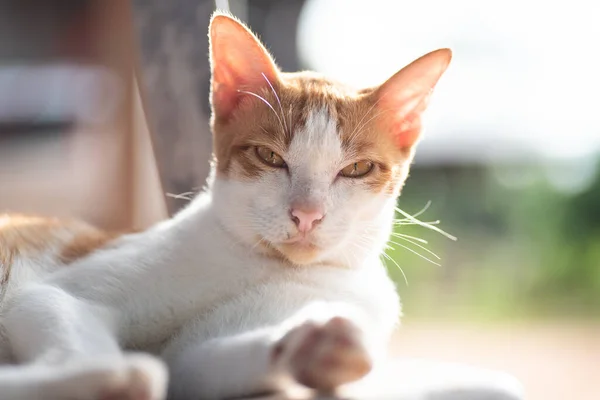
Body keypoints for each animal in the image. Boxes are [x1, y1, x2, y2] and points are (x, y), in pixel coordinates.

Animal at [0, 12, 450, 400]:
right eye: (269, 157)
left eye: (357, 168)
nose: (307, 215)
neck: (264, 266)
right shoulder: (53, 293)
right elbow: (64, 321)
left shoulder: (190, 359)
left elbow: (209, 362)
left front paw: (318, 348)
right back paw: (120, 379)